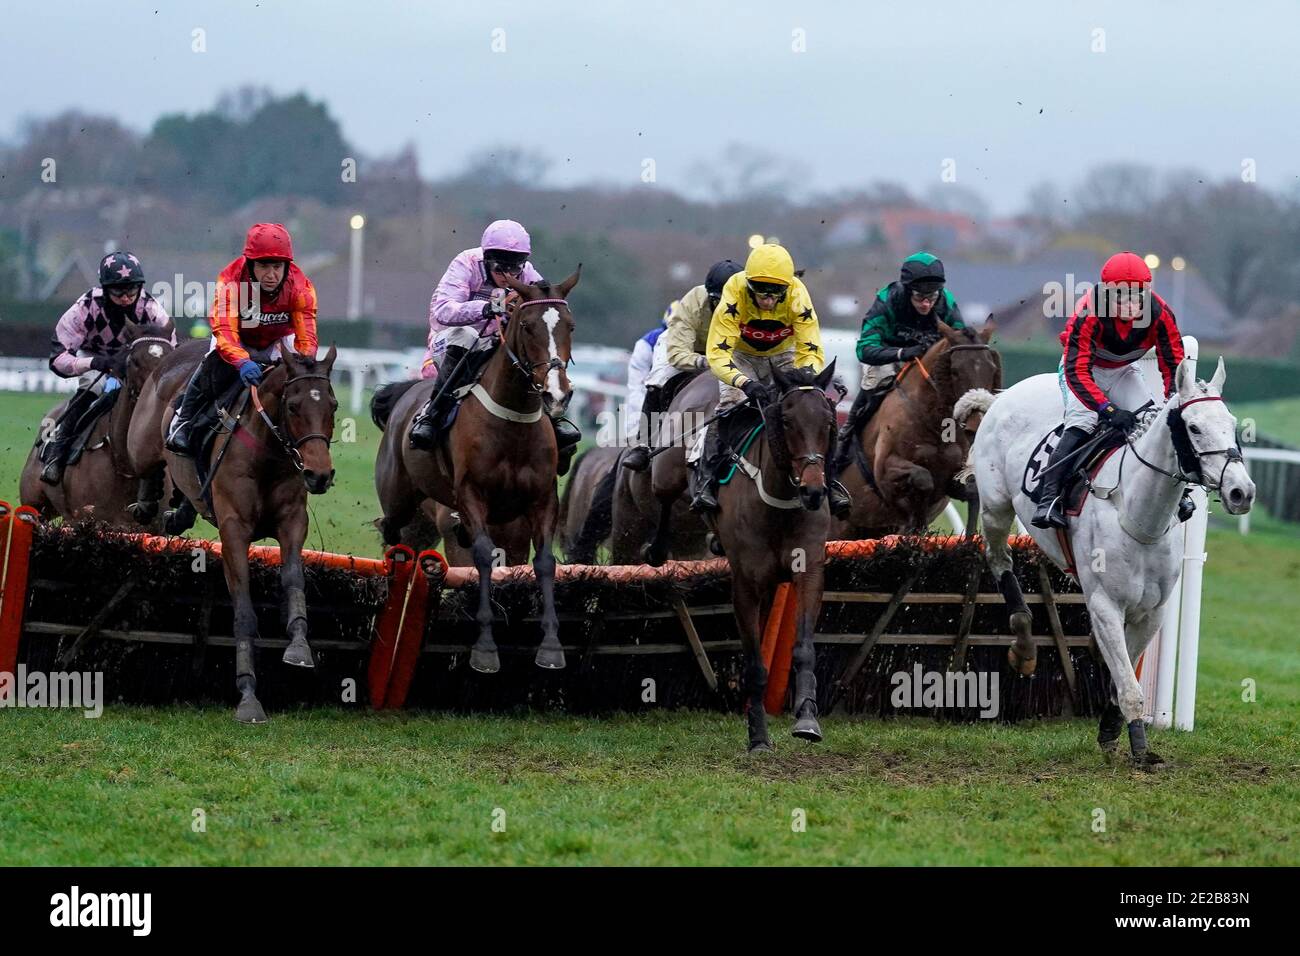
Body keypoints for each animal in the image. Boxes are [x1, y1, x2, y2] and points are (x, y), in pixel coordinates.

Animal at [126, 340, 338, 723]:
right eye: (293, 406)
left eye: (333, 405)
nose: (319, 475)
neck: (268, 453)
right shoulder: (234, 531)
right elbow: (243, 613)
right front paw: (248, 696)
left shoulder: (292, 521)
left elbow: (294, 580)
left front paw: (299, 645)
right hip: (142, 444)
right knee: (147, 465)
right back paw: (148, 502)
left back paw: (179, 513)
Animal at [374, 269, 582, 671]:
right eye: (527, 326)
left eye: (570, 325)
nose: (556, 394)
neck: (512, 420)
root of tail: (407, 393)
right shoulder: (471, 495)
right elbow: (484, 558)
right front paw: (485, 647)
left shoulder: (541, 500)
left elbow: (544, 562)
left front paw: (551, 645)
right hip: (400, 498)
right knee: (392, 531)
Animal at [712, 358, 842, 754]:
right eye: (786, 421)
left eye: (829, 421)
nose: (814, 491)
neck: (781, 502)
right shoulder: (745, 584)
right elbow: (754, 663)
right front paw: (758, 737)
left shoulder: (809, 571)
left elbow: (803, 648)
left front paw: (807, 720)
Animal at [826, 323, 998, 538]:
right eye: (955, 370)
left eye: (991, 368)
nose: (978, 421)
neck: (935, 425)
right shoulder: (885, 468)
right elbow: (922, 479)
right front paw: (917, 525)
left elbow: (971, 490)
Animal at [977, 356, 1253, 764]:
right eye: (1194, 427)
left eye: (1232, 424)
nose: (1241, 492)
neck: (1138, 515)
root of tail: (1006, 393)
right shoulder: (1106, 605)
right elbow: (1131, 688)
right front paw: (1139, 749)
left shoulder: (1152, 611)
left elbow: (1124, 676)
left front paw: (1109, 728)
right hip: (995, 507)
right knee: (1000, 559)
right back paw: (1024, 641)